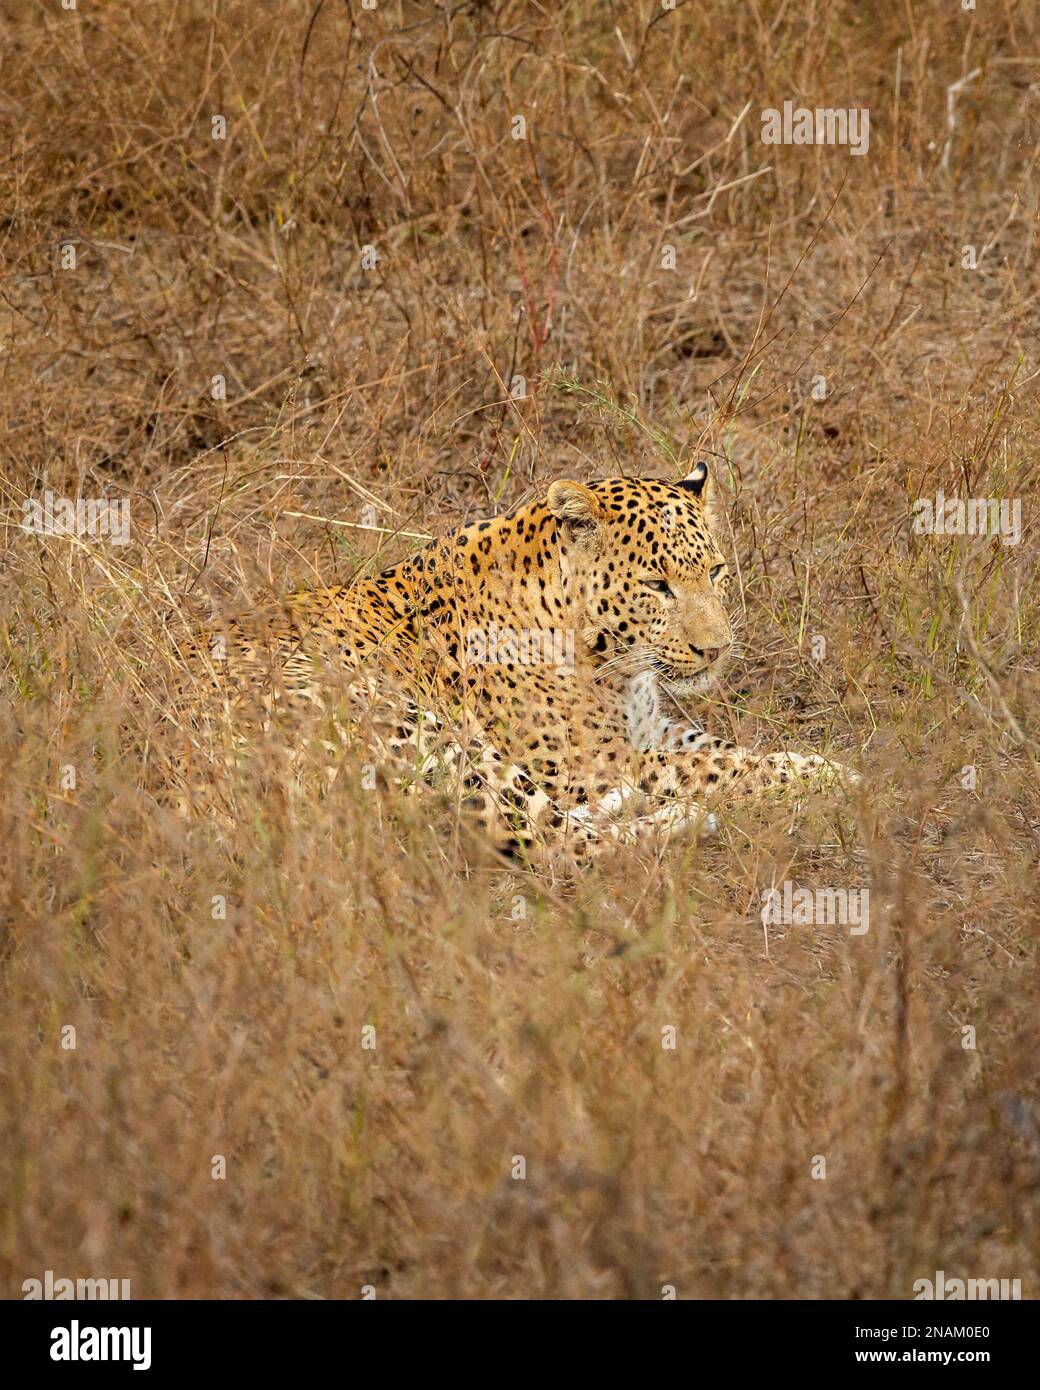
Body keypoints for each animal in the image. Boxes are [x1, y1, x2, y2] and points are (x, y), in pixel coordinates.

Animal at [190, 467, 856, 856]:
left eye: (714, 572)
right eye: (656, 584)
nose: (715, 649)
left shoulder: (651, 729)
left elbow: (729, 752)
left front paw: (819, 764)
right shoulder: (593, 760)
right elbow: (723, 769)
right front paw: (839, 779)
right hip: (419, 733)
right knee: (562, 842)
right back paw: (683, 821)